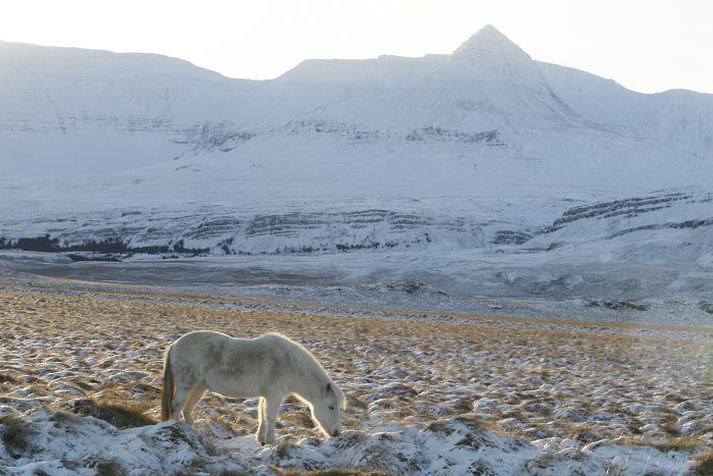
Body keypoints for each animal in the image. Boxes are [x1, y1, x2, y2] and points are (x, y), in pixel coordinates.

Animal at [161, 330, 344, 444]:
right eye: (331, 406)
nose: (337, 433)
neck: (288, 363)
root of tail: (175, 344)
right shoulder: (274, 396)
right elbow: (271, 417)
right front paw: (271, 441)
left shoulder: (266, 395)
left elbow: (261, 415)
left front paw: (261, 440)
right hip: (186, 385)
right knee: (177, 406)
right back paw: (176, 431)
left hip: (199, 387)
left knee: (187, 409)